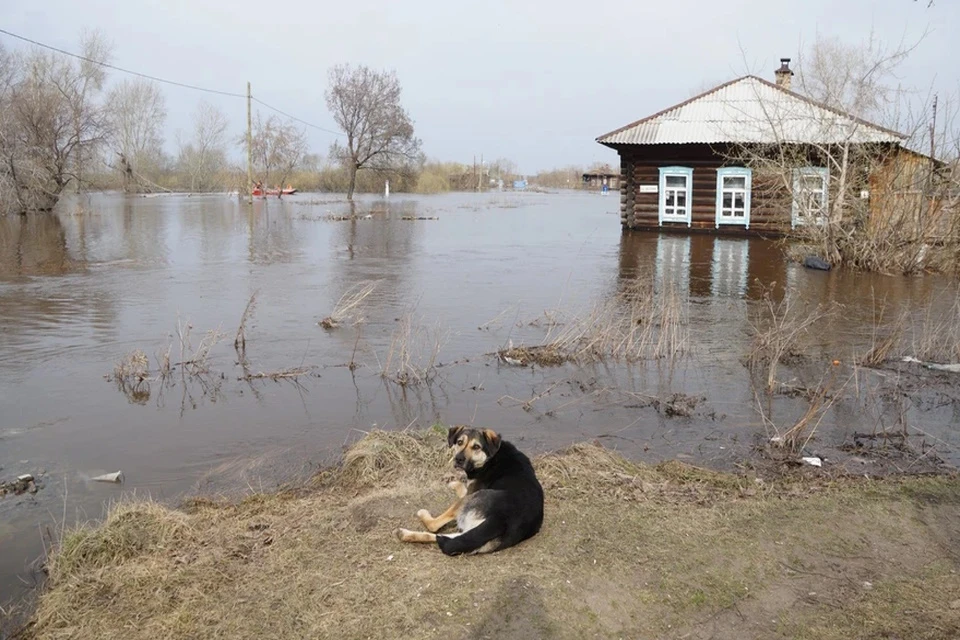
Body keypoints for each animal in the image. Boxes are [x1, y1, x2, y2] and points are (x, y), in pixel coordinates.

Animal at [394, 424, 544, 556]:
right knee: (449, 538)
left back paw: (422, 516)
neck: (490, 458)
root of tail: (501, 519)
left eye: (476, 447)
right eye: (460, 442)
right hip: (473, 534)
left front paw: (455, 484)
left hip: (469, 501)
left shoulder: (471, 491)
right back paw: (406, 534)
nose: (458, 459)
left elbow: (463, 489)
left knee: (434, 526)